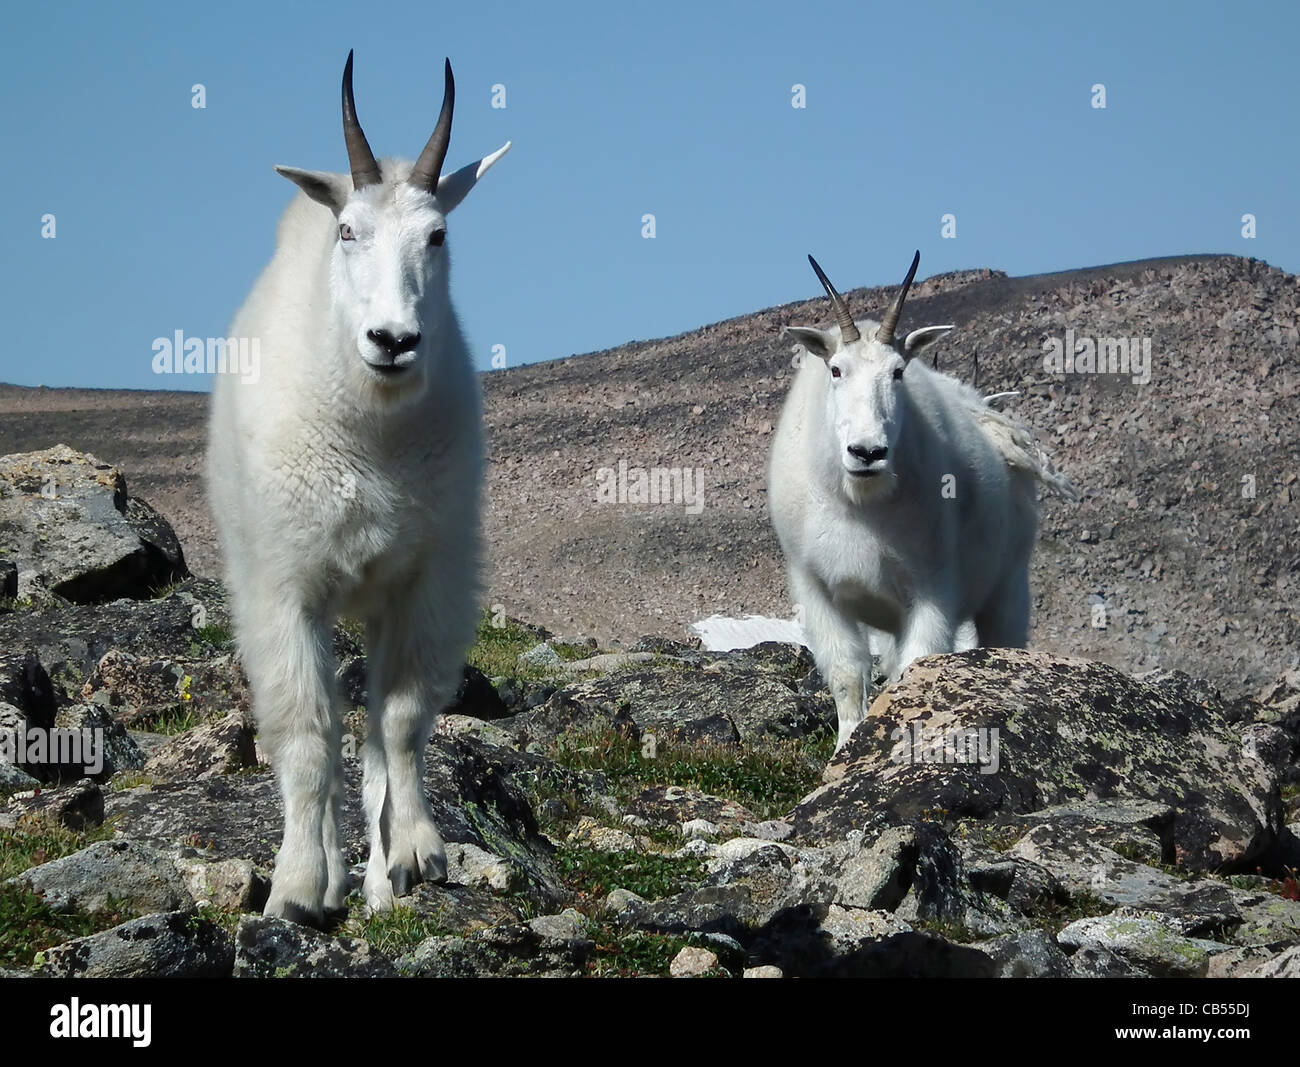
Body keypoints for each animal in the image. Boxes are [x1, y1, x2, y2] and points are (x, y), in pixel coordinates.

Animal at [205, 50, 509, 920]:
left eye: (437, 234)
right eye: (349, 231)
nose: (393, 340)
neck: (370, 436)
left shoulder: (424, 581)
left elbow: (400, 720)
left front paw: (414, 855)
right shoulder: (283, 587)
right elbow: (308, 730)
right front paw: (298, 887)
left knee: (373, 732)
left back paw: (377, 876)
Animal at [764, 249, 1071, 748]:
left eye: (898, 372)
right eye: (836, 370)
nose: (867, 452)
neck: (859, 504)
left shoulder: (933, 586)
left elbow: (916, 667)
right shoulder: (816, 588)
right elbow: (847, 675)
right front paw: (845, 747)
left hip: (1008, 582)